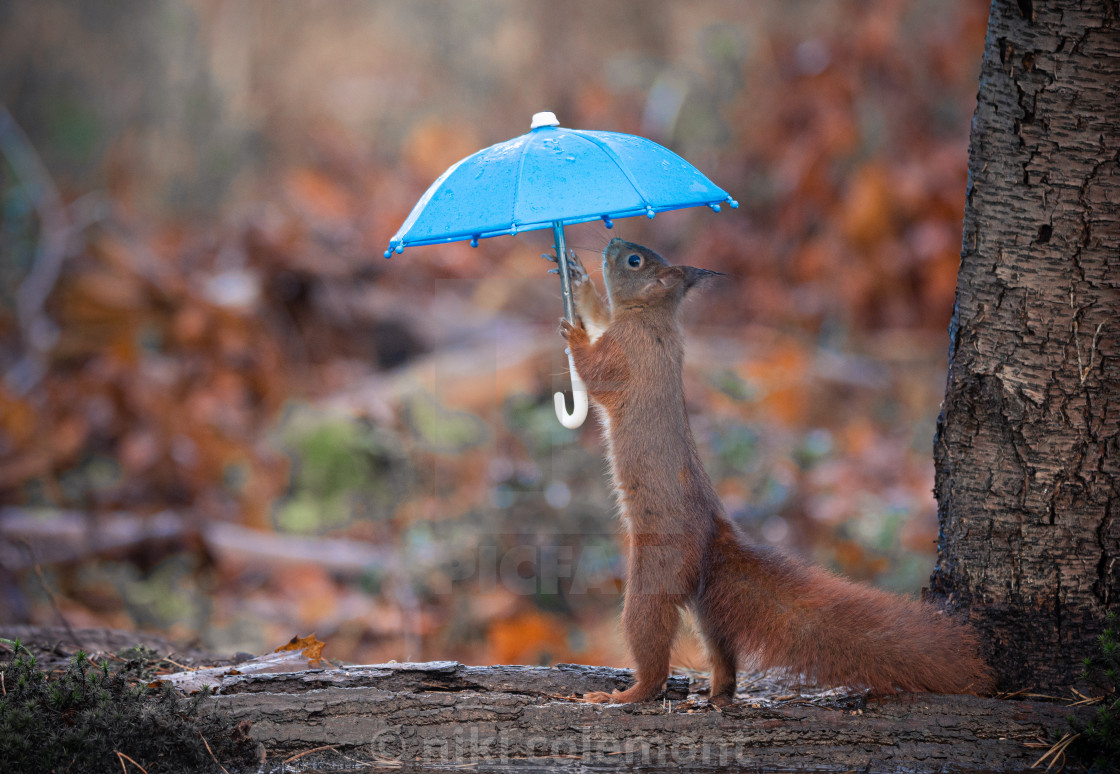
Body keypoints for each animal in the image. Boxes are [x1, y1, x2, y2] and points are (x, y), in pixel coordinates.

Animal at [551, 239, 990, 703]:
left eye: (635, 261)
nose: (611, 244)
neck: (652, 317)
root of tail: (711, 540)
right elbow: (600, 316)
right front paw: (577, 279)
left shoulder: (628, 355)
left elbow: (597, 373)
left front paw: (574, 333)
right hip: (707, 605)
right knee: (723, 650)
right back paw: (717, 693)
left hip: (655, 575)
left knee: (652, 646)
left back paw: (623, 695)